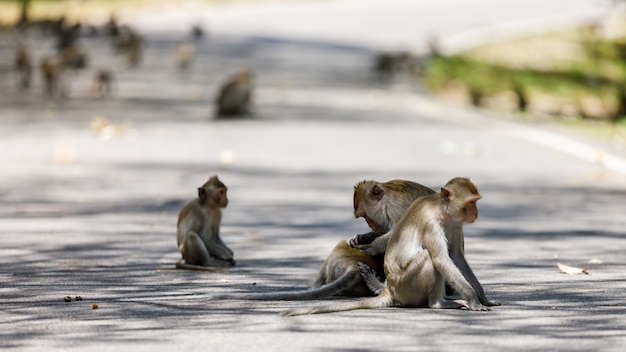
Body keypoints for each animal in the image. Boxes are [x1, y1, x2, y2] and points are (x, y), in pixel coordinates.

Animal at [284, 177, 498, 318]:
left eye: (366, 216)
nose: (371, 226)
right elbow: (452, 256)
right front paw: (361, 238)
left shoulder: (397, 208)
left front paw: (370, 245)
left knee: (427, 256)